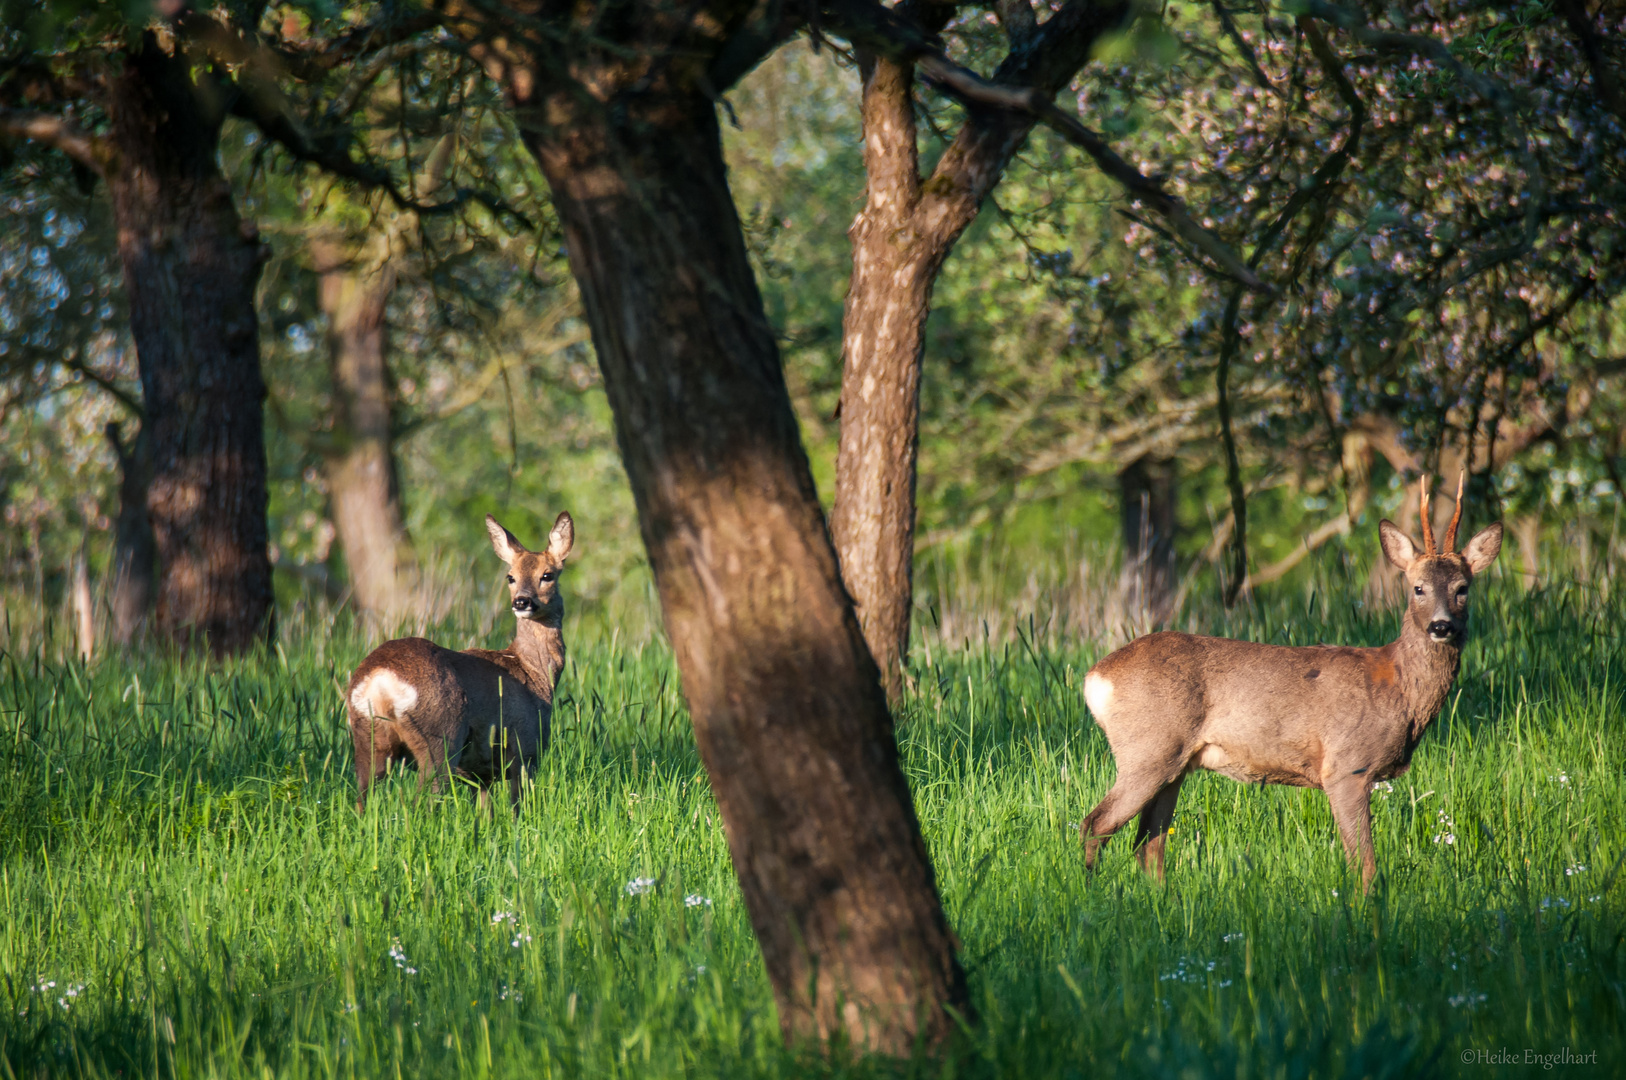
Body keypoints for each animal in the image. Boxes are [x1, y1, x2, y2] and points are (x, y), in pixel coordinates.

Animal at [343, 513, 572, 810]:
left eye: (547, 575)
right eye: (511, 576)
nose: (522, 602)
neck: (533, 672)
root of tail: (380, 680)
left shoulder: (481, 774)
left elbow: (485, 813)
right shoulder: (526, 747)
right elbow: (516, 808)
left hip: (366, 736)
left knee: (361, 798)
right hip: (440, 737)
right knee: (423, 800)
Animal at [1073, 478, 1502, 891]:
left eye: (1463, 588)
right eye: (1418, 588)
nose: (1441, 626)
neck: (1399, 689)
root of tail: (1096, 677)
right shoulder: (1346, 765)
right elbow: (1363, 864)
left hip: (1173, 764)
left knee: (1148, 842)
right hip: (1147, 750)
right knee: (1097, 824)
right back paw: (1090, 892)